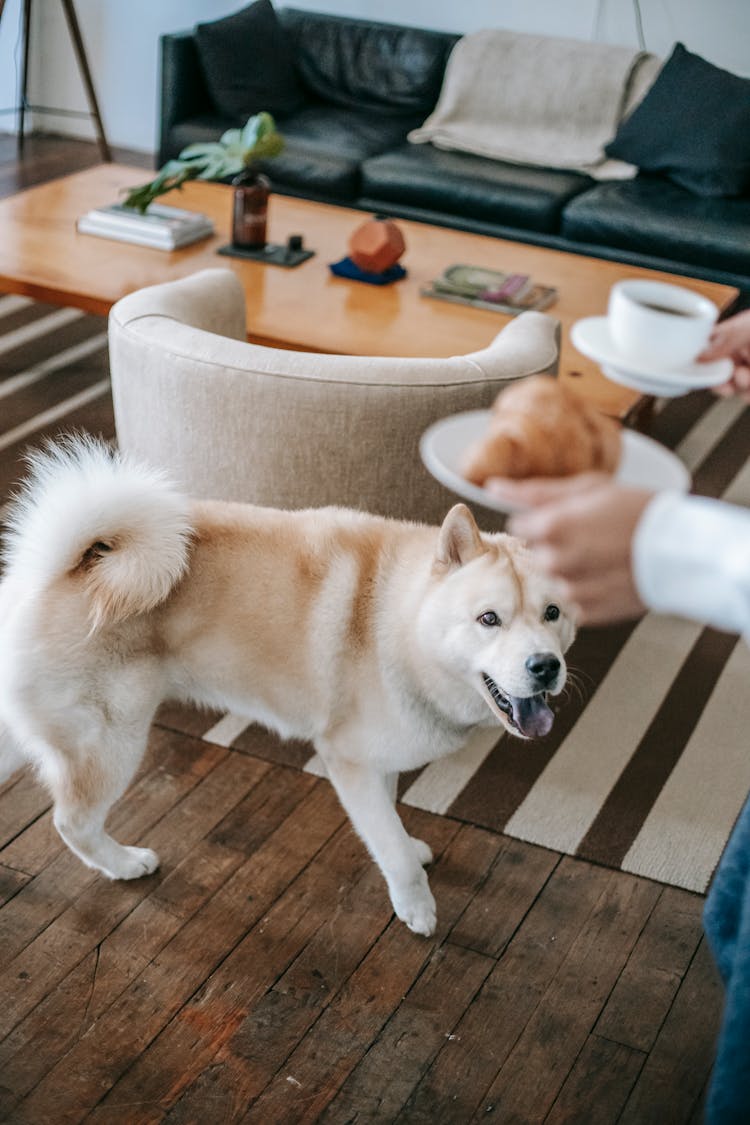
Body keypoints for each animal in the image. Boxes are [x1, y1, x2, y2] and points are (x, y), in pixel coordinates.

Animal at [0, 434, 575, 936]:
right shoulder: (347, 760)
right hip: (111, 743)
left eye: (552, 613)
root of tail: (53, 573)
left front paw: (408, 848)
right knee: (73, 823)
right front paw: (416, 905)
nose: (545, 666)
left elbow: (389, 818)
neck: (401, 624)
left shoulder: (377, 758)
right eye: (488, 619)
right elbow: (389, 845)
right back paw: (123, 863)